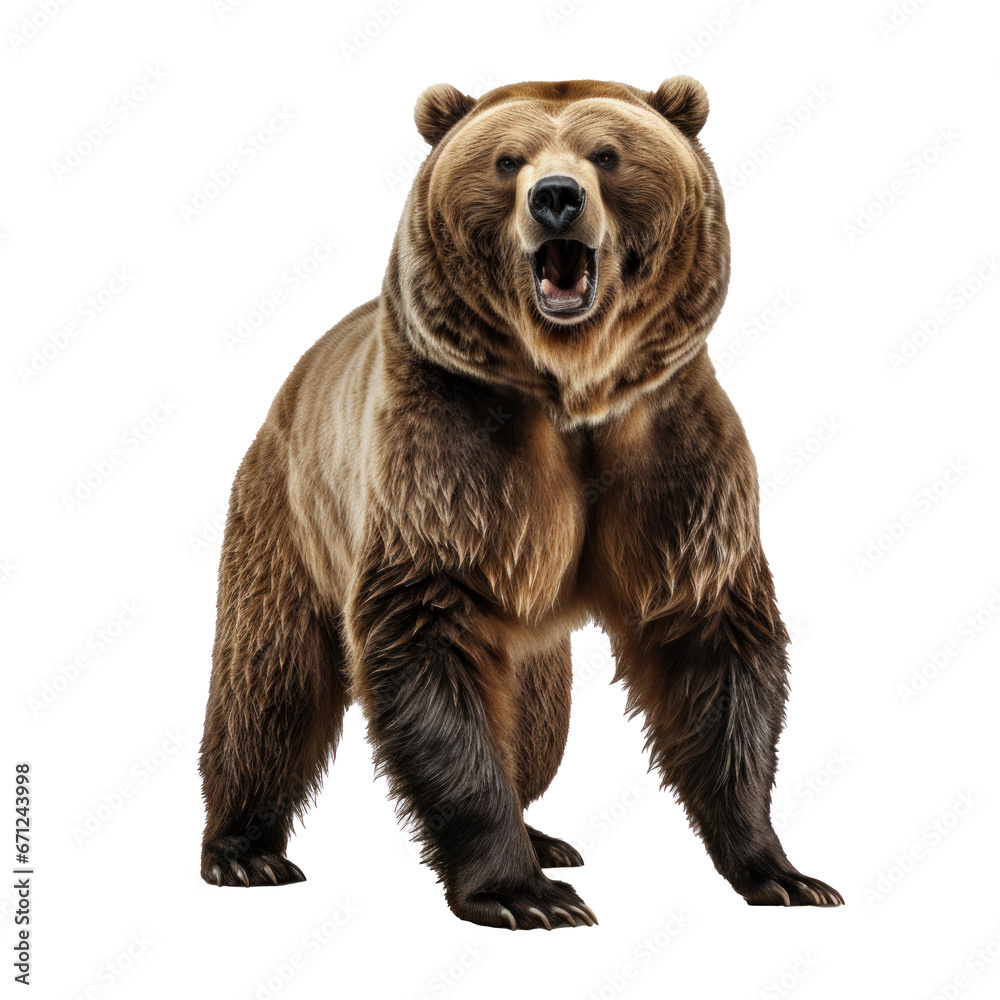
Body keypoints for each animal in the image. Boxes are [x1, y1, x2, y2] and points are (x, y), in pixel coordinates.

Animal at [198, 75, 843, 928]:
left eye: (608, 152)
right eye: (507, 160)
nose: (557, 198)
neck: (571, 392)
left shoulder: (674, 453)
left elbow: (712, 644)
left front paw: (782, 872)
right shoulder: (454, 455)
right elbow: (429, 638)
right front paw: (522, 894)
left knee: (536, 725)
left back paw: (543, 833)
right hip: (290, 512)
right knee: (269, 681)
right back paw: (244, 850)